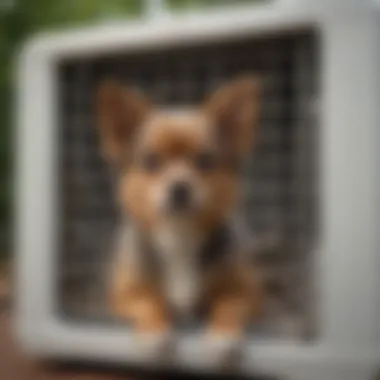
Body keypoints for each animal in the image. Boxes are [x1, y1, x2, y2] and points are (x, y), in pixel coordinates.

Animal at [96, 75, 266, 364]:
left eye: (206, 160)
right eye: (151, 161)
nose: (179, 188)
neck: (179, 235)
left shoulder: (247, 293)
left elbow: (228, 305)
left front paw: (224, 336)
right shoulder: (123, 294)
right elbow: (149, 302)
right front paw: (154, 332)